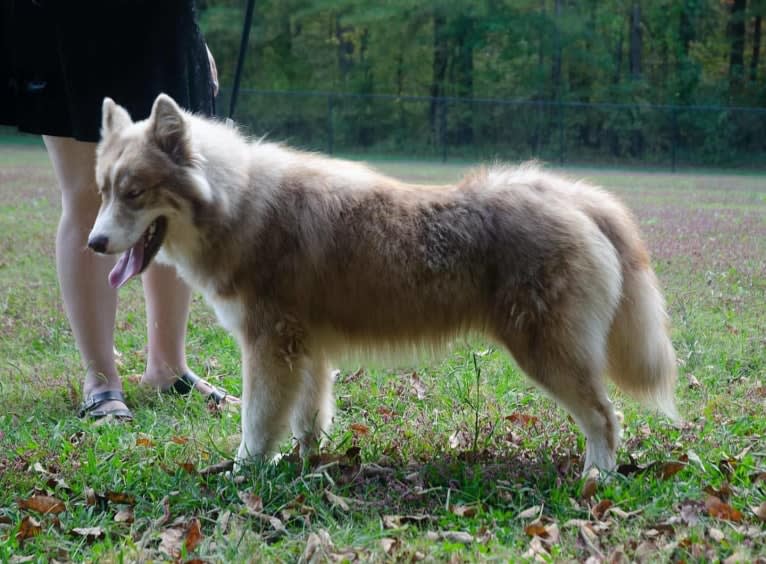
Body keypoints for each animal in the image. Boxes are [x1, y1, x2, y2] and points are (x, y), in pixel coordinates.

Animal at [87, 93, 680, 472]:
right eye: (104, 191)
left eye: (134, 193)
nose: (93, 244)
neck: (241, 204)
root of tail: (575, 196)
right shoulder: (307, 351)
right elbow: (308, 421)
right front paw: (308, 466)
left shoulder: (268, 348)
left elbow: (257, 427)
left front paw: (244, 476)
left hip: (547, 354)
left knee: (605, 417)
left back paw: (596, 479)